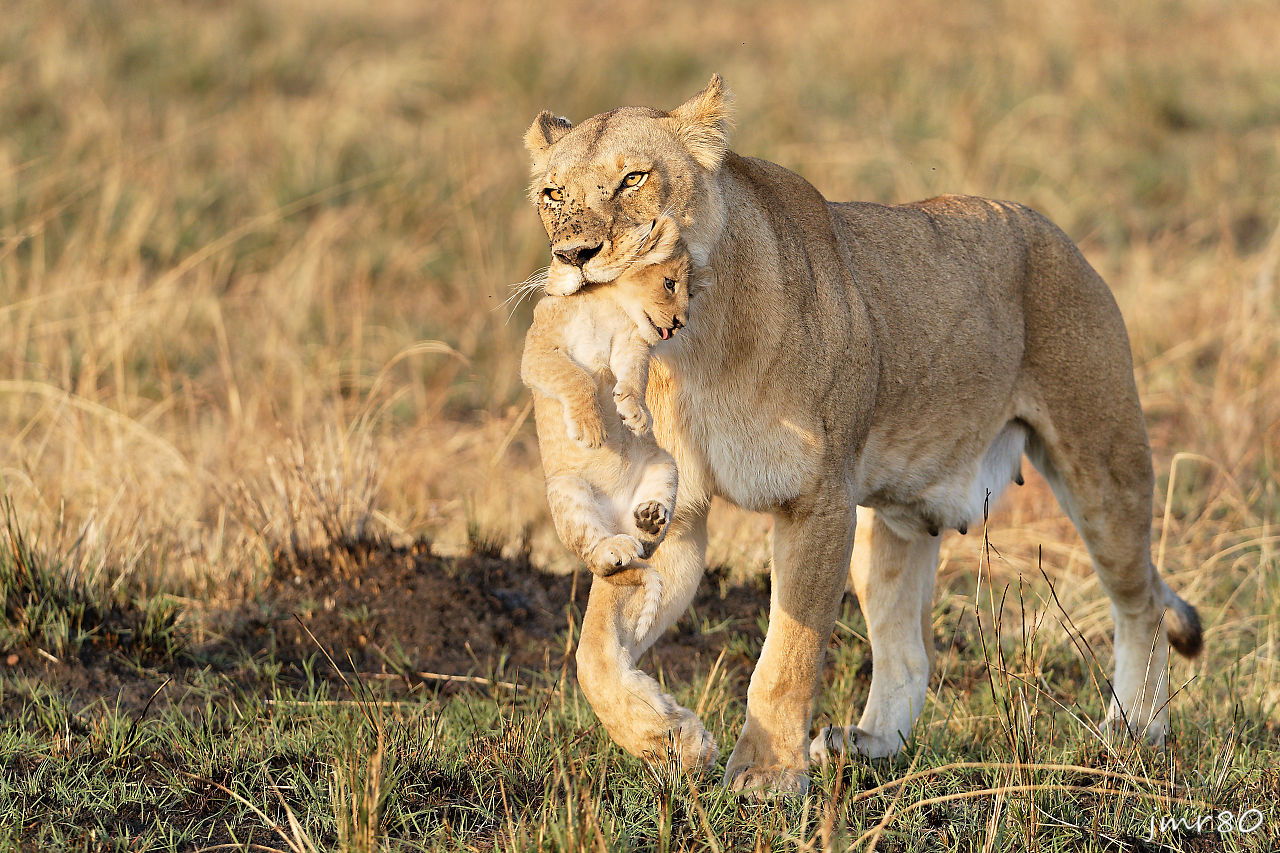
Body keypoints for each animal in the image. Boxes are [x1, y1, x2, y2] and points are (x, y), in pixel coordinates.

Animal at [521, 217, 695, 645]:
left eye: (690, 290)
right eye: (670, 283)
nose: (681, 323)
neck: (602, 304)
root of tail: (617, 522)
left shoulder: (629, 343)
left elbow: (633, 374)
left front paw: (635, 415)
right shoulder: (538, 350)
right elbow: (575, 377)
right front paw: (590, 428)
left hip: (665, 465)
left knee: (647, 548)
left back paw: (648, 520)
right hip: (568, 491)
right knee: (596, 557)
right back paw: (612, 549)